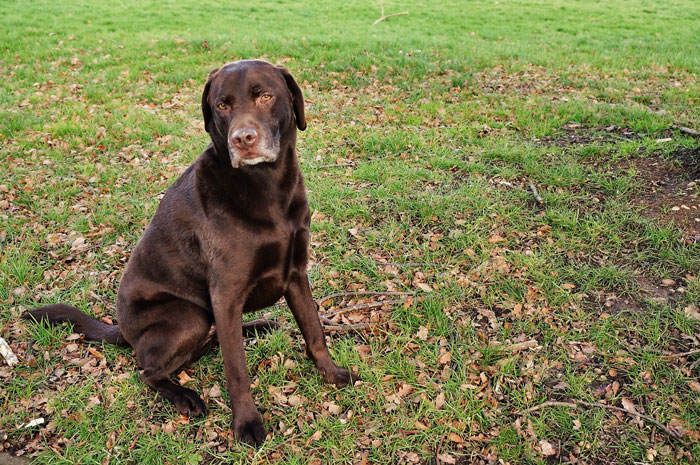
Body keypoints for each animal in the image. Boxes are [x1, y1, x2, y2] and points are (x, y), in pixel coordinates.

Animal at [24, 59, 358, 444]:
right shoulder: (226, 293)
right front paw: (246, 424)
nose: (242, 139)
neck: (267, 188)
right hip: (189, 315)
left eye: (265, 96)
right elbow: (237, 370)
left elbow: (315, 332)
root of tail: (122, 330)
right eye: (222, 105)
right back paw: (185, 396)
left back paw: (256, 327)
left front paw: (332, 375)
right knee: (150, 371)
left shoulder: (296, 274)